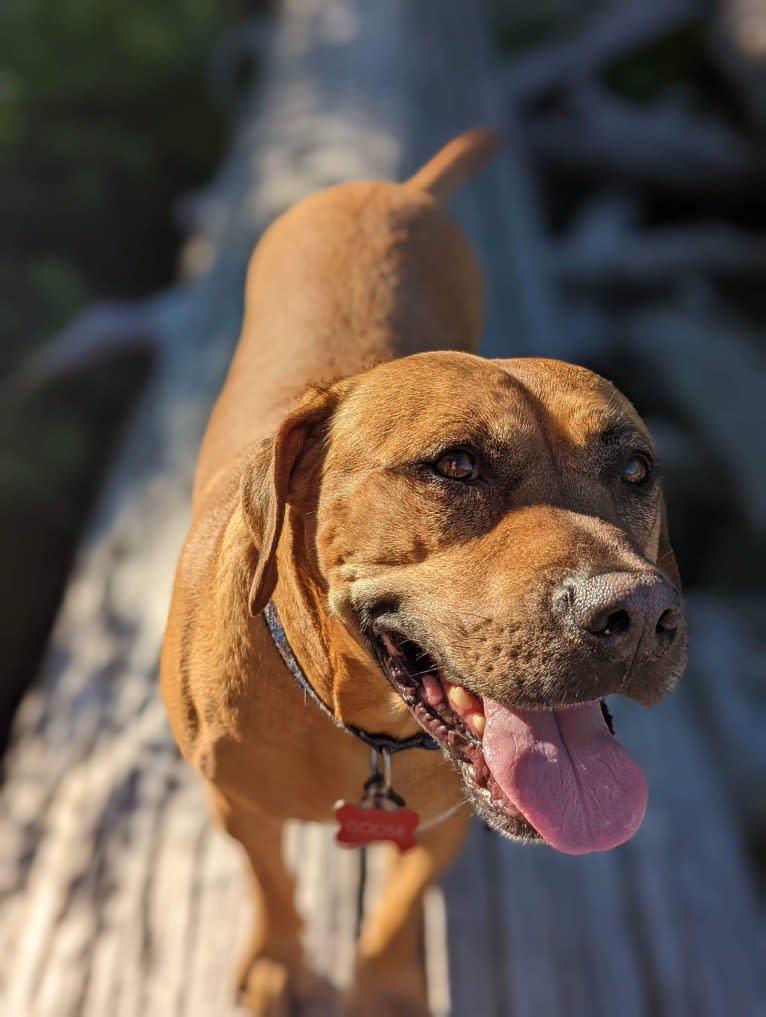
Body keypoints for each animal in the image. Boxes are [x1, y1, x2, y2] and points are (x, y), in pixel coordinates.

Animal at [161, 129, 687, 1016]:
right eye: (456, 464)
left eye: (636, 470)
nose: (641, 613)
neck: (358, 724)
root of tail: (398, 188)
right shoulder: (234, 802)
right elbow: (269, 878)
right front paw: (278, 959)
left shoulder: (446, 823)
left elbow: (403, 897)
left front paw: (384, 984)